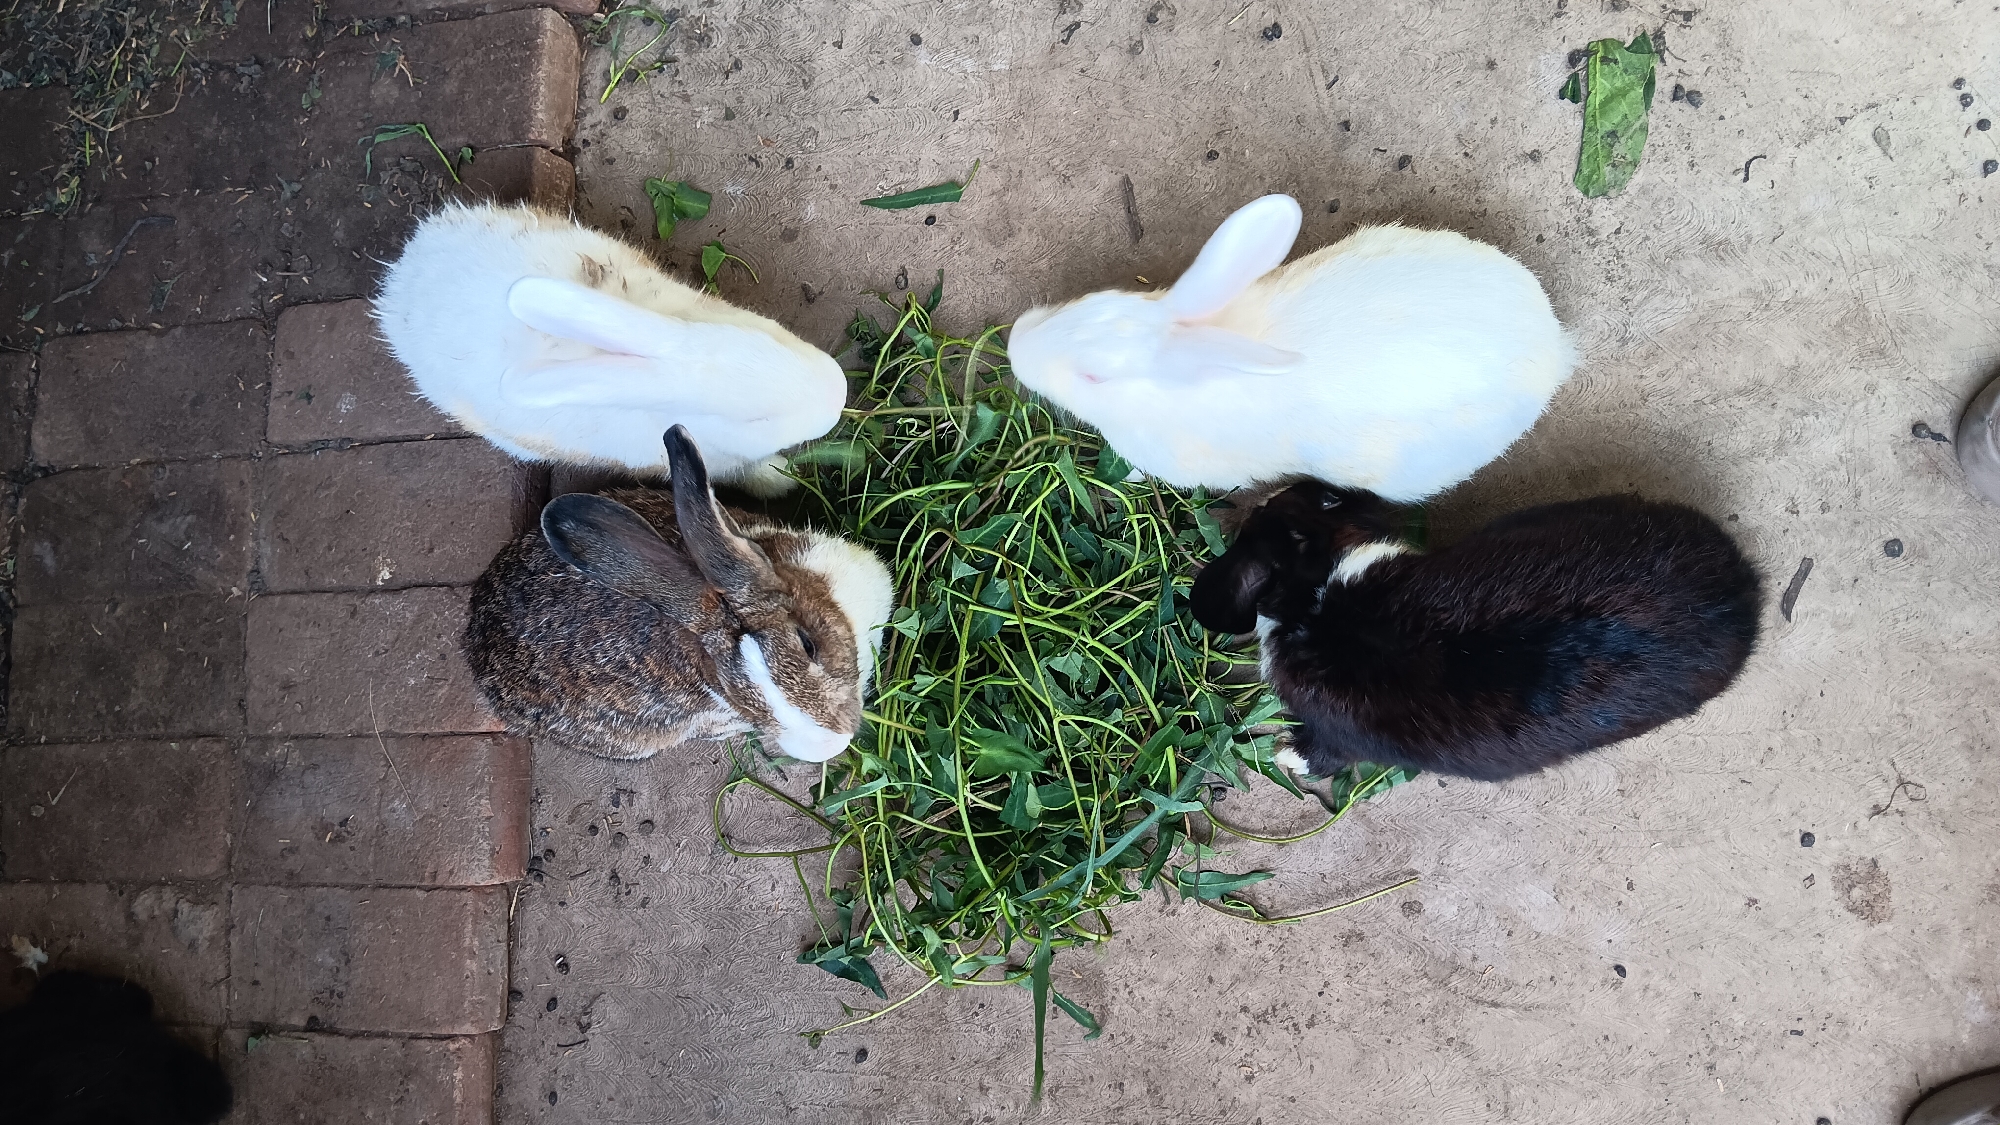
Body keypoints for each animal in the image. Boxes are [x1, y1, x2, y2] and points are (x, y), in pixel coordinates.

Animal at [374, 202, 848, 497]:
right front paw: (785, 479)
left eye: (772, 337)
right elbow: (752, 471)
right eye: (757, 419)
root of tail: (402, 276)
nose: (838, 393)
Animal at [1189, 480, 1761, 781]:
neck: (1316, 595)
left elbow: (1321, 754)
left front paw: (1284, 756)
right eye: (1328, 501)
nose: (1262, 497)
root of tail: (1739, 585)